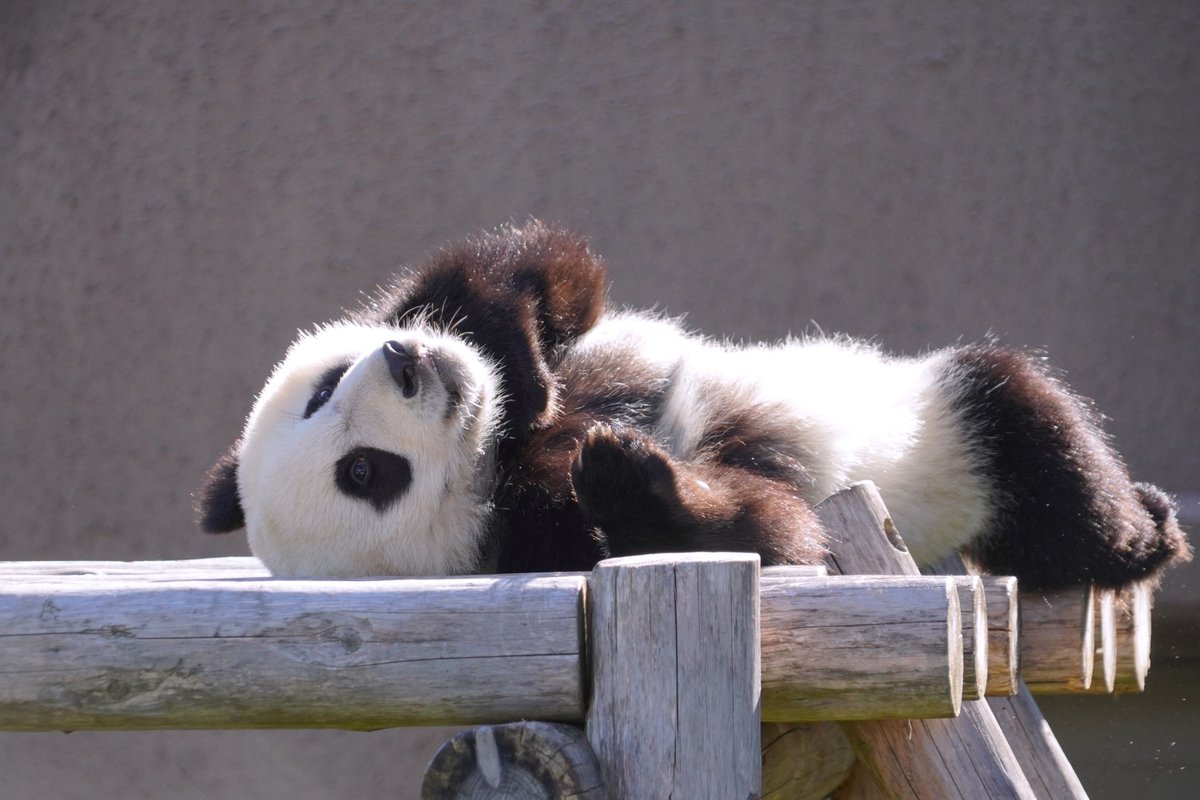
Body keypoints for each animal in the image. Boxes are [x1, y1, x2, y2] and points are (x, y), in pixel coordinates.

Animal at [198, 221, 1188, 589]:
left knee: (1022, 413)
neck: (499, 456)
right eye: (366, 474)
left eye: (326, 389)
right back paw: (1143, 537)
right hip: (948, 455)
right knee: (1040, 461)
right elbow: (782, 538)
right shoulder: (539, 533)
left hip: (924, 409)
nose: (407, 365)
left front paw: (514, 353)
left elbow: (529, 272)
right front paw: (628, 475)